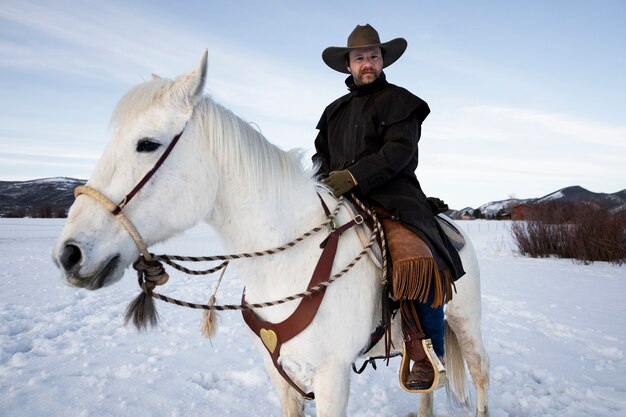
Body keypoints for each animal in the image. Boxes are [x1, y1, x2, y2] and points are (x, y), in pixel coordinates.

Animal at [52, 50, 488, 414]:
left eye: (147, 143)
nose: (69, 254)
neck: (289, 263)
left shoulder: (332, 378)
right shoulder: (281, 375)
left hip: (466, 321)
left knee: (480, 371)